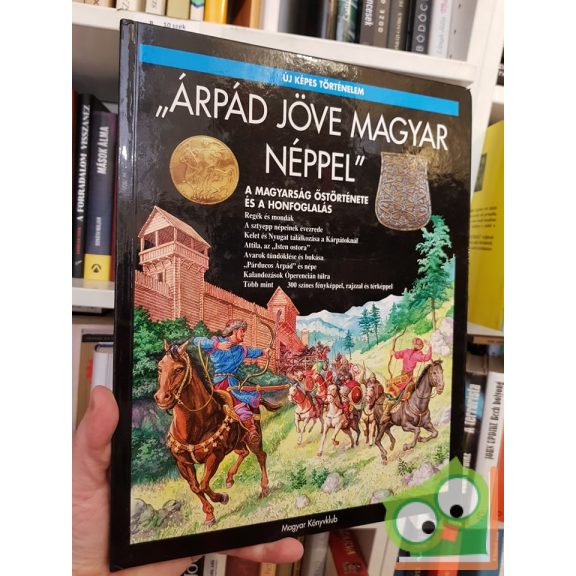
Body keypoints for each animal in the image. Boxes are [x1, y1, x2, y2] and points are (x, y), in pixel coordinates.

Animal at [153, 340, 271, 526]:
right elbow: (195, 487)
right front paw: (209, 515)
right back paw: (229, 479)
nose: (161, 398)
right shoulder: (182, 463)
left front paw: (222, 498)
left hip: (253, 438)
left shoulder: (214, 456)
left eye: (179, 369)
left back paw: (264, 487)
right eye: (159, 368)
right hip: (236, 443)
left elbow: (203, 484)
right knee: (243, 452)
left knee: (261, 456)